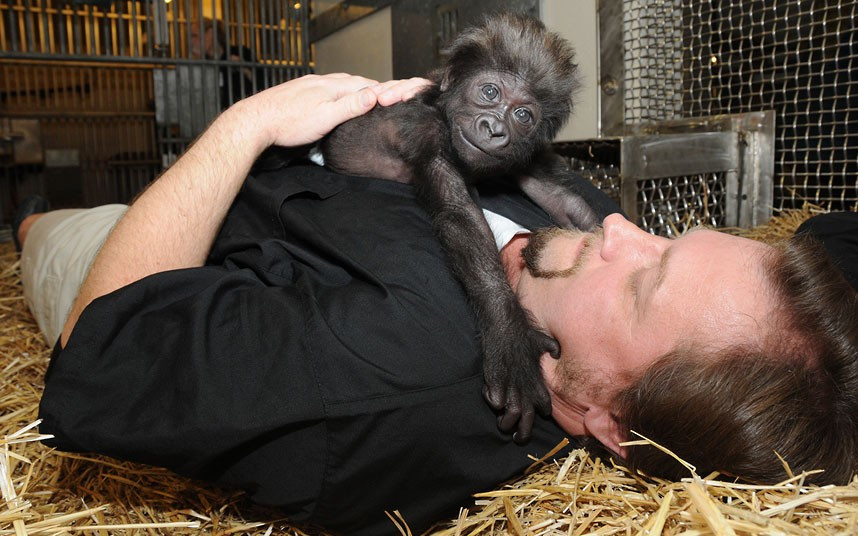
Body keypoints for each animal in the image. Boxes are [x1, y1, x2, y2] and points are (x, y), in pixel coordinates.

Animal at [320, 12, 620, 442]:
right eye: (490, 92)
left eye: (523, 115)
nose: (494, 127)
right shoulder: (424, 130)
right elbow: (459, 217)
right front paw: (510, 337)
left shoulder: (526, 155)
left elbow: (562, 202)